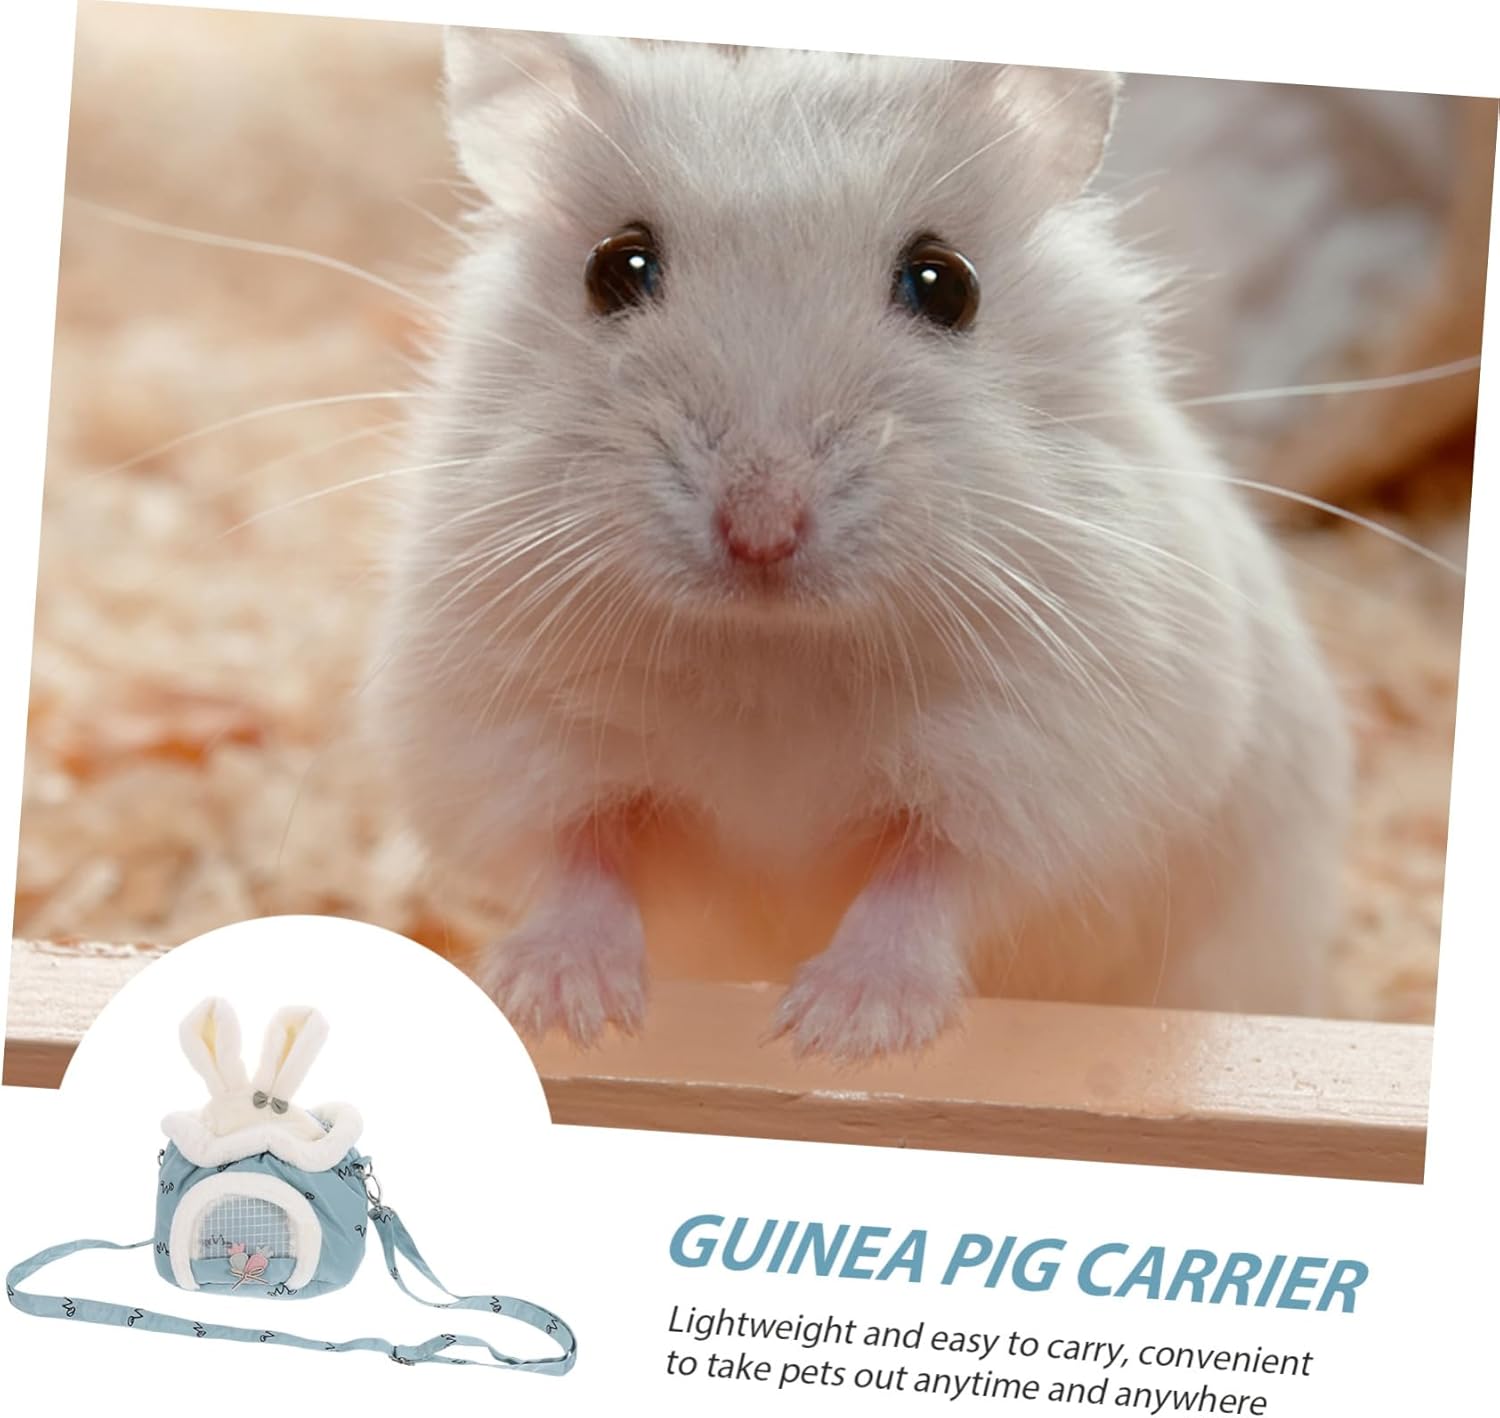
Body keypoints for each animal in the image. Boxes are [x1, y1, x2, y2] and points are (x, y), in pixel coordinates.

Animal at [369, 30, 1352, 1061]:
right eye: (616, 269)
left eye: (945, 283)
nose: (761, 529)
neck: (772, 657)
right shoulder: (504, 736)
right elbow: (576, 856)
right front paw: (563, 1009)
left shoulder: (1050, 765)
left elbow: (931, 881)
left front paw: (837, 1031)